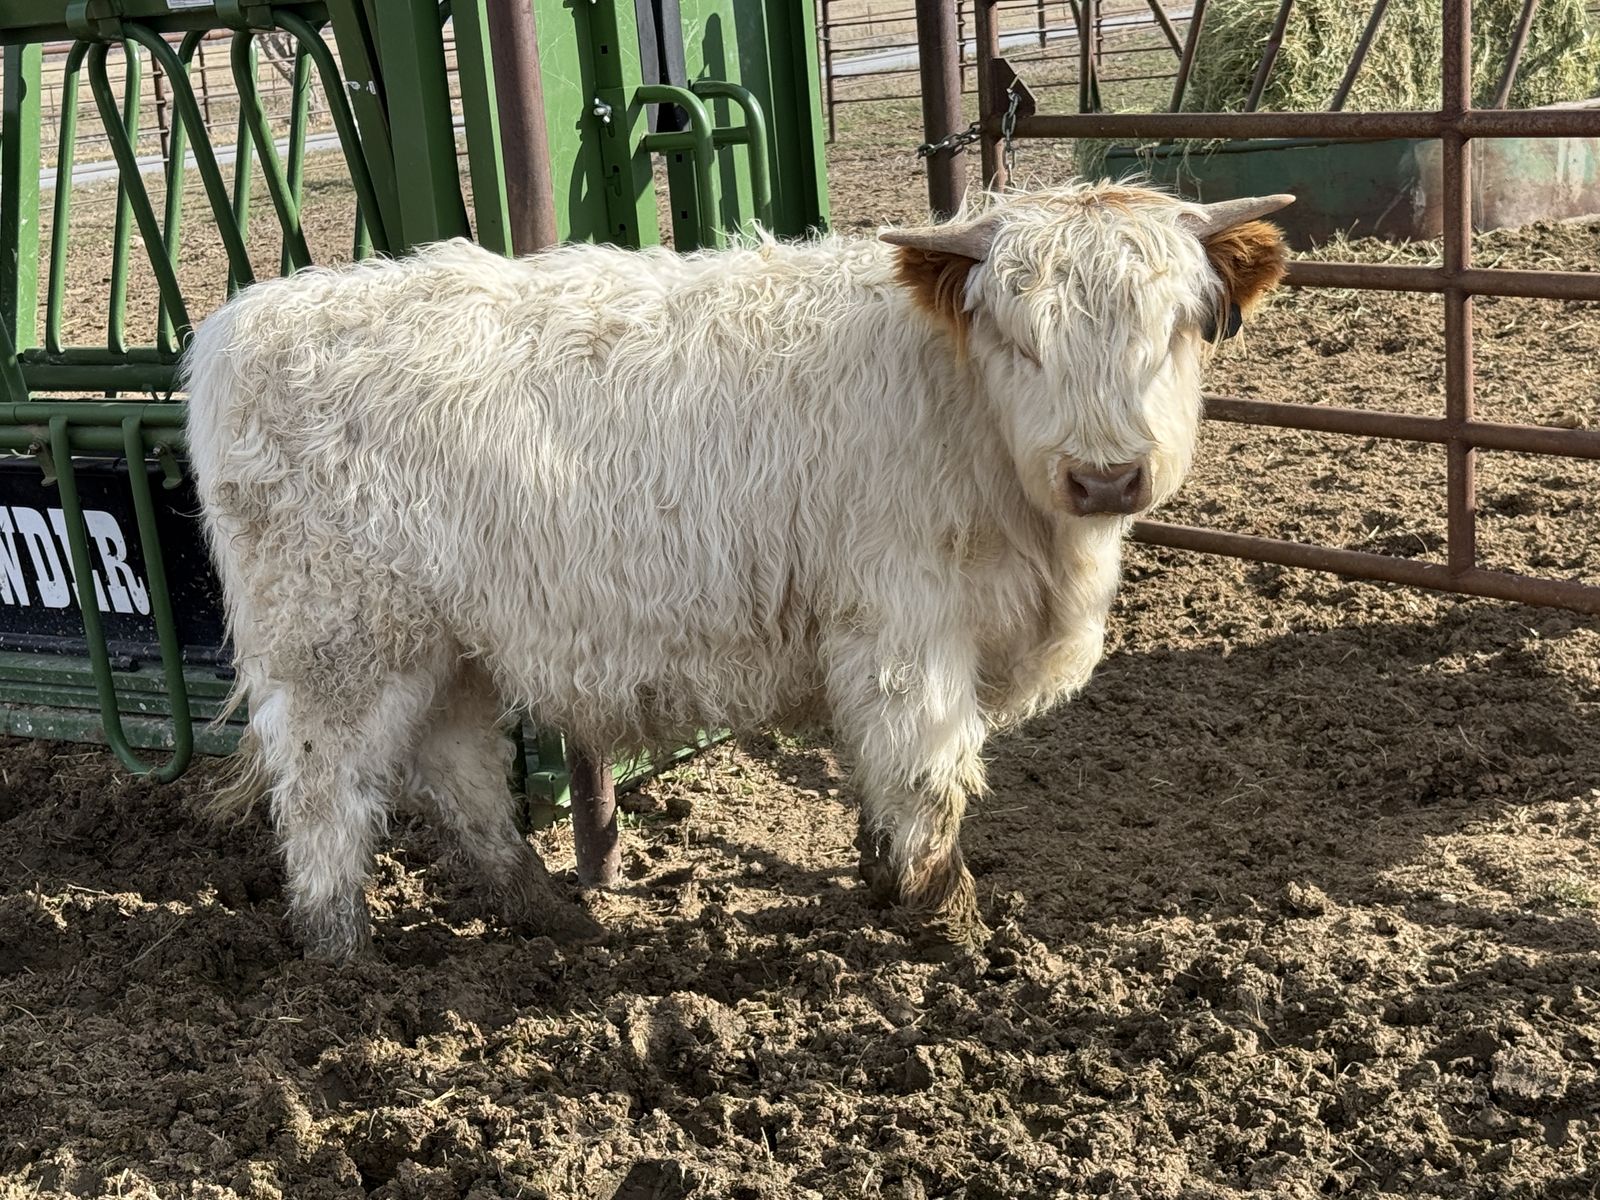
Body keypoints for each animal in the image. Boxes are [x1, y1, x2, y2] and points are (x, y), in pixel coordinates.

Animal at [183, 182, 1292, 961]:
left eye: (1177, 329)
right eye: (1021, 340)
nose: (1105, 475)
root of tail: (243, 324)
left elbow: (878, 776)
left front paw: (882, 882)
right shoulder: (904, 629)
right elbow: (927, 777)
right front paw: (955, 928)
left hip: (446, 647)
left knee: (459, 777)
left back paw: (552, 917)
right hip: (336, 645)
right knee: (325, 793)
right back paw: (342, 955)